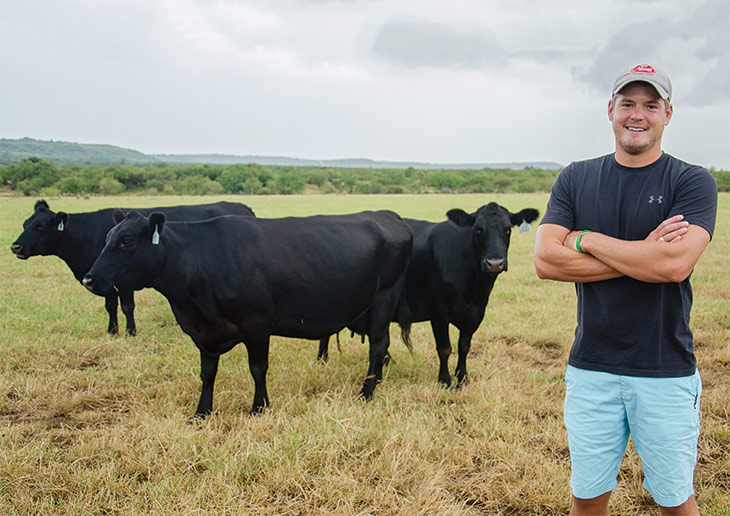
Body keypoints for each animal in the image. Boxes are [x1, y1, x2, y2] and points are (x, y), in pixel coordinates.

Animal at [9, 200, 256, 336]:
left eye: (39, 227)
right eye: (25, 224)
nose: (15, 246)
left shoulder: (123, 281)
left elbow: (127, 306)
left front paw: (130, 331)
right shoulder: (102, 281)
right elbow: (110, 306)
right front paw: (112, 330)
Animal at [81, 210, 410, 416]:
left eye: (127, 241)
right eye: (108, 237)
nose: (89, 279)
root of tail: (387, 216)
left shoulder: (257, 324)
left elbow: (257, 368)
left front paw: (259, 408)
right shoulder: (205, 332)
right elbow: (207, 373)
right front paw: (202, 411)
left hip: (384, 298)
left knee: (378, 345)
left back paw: (367, 391)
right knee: (382, 346)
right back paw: (376, 382)